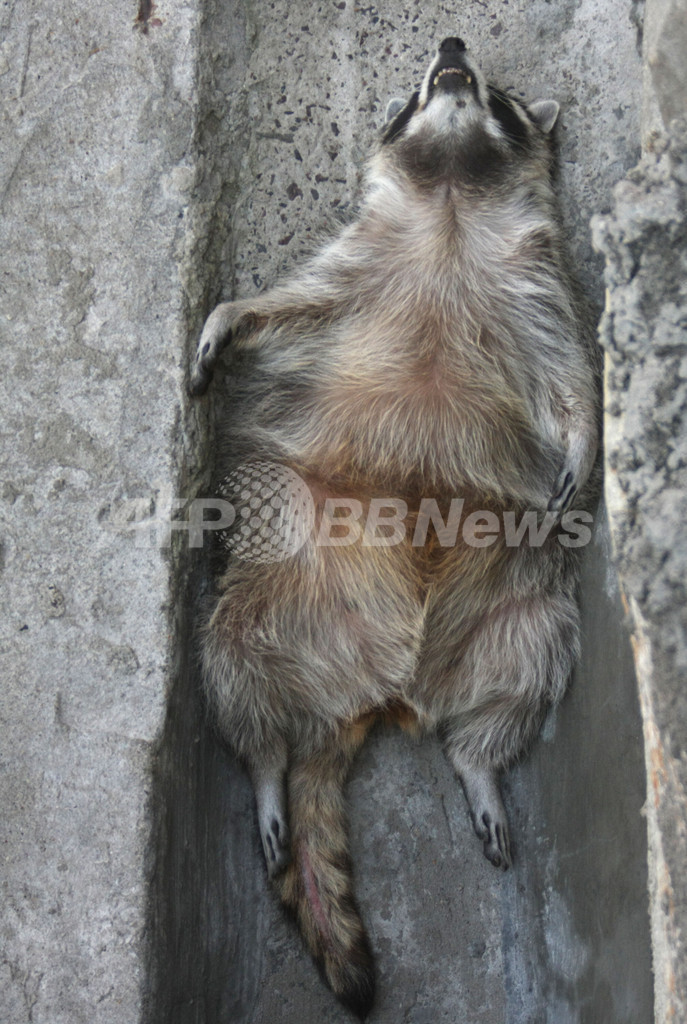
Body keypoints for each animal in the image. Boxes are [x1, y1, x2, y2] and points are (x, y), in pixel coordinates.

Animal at [190, 37, 597, 1015]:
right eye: (412, 93)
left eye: (497, 94)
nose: (450, 48)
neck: (450, 199)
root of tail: (374, 692)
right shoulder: (348, 268)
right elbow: (284, 303)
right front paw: (232, 315)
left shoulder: (540, 289)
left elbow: (571, 377)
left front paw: (588, 437)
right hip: (277, 535)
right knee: (232, 663)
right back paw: (265, 764)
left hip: (522, 585)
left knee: (529, 664)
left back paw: (478, 760)